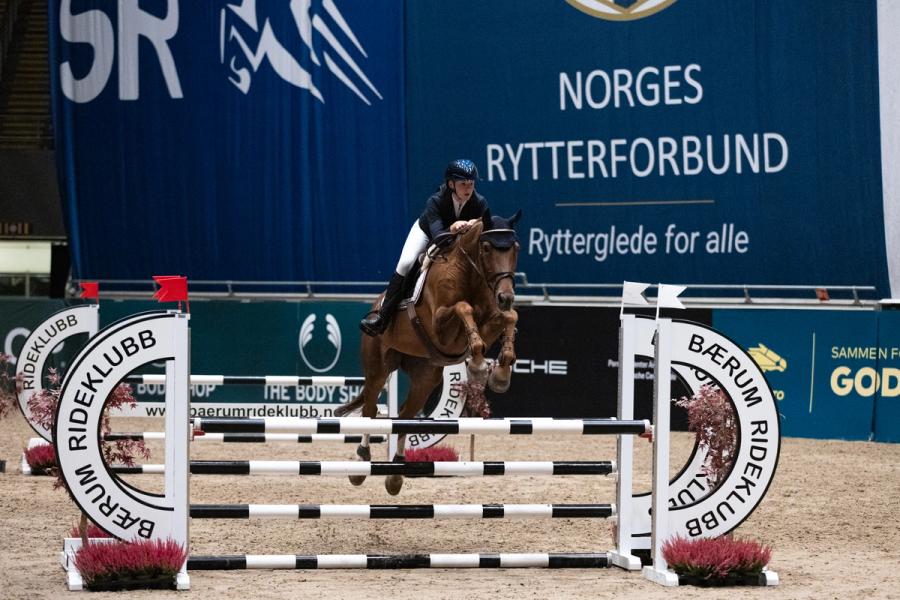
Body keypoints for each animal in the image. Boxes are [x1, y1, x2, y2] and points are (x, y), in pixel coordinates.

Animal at [336, 210, 520, 492]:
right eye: (487, 248)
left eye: (515, 248)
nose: (506, 296)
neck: (471, 274)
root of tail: (375, 305)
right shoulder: (440, 325)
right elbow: (463, 307)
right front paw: (478, 367)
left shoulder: (490, 318)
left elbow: (509, 316)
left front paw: (500, 373)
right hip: (378, 367)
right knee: (370, 410)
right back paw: (360, 463)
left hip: (425, 377)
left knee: (404, 416)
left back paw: (395, 475)